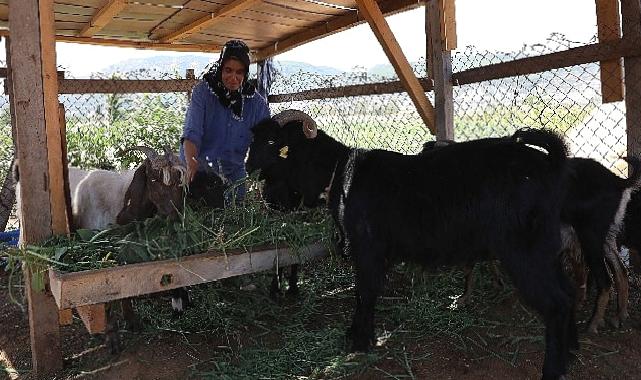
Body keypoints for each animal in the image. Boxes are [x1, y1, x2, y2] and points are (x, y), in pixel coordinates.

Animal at [249, 113, 576, 380]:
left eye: (272, 141)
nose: (249, 168)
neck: (341, 173)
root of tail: (548, 164)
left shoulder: (367, 249)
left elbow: (365, 292)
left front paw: (360, 341)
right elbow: (365, 292)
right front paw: (357, 335)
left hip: (525, 251)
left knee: (556, 304)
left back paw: (553, 370)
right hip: (546, 249)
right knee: (568, 294)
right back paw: (571, 353)